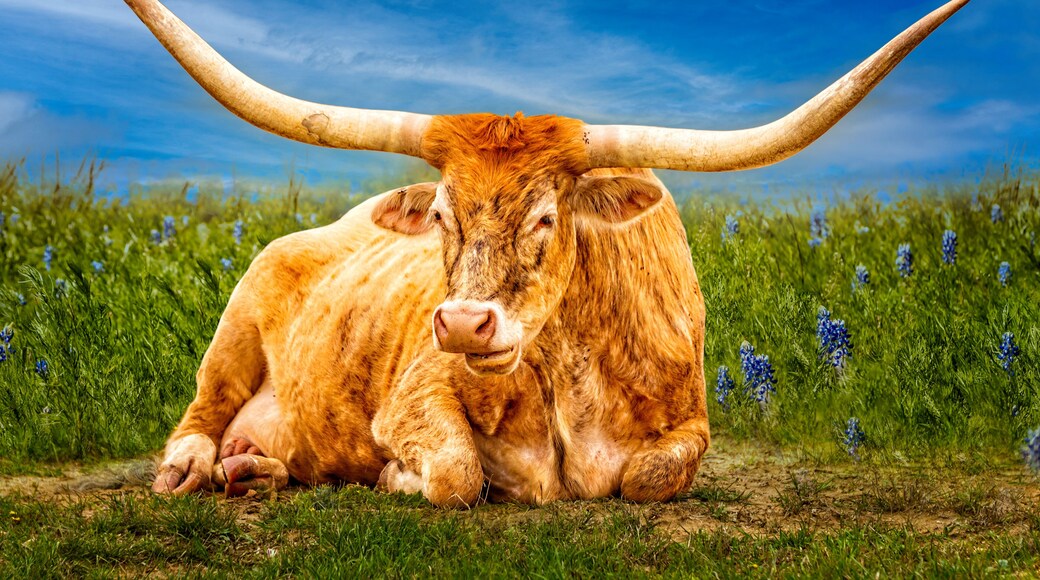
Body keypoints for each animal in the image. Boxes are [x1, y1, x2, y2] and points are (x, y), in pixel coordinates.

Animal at [128, 0, 970, 506]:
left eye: (545, 216)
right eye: (441, 214)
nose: (463, 325)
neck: (572, 372)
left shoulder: (690, 424)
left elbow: (651, 475)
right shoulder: (412, 395)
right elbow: (458, 472)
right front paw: (398, 475)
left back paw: (253, 468)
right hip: (236, 322)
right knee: (201, 408)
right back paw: (195, 466)